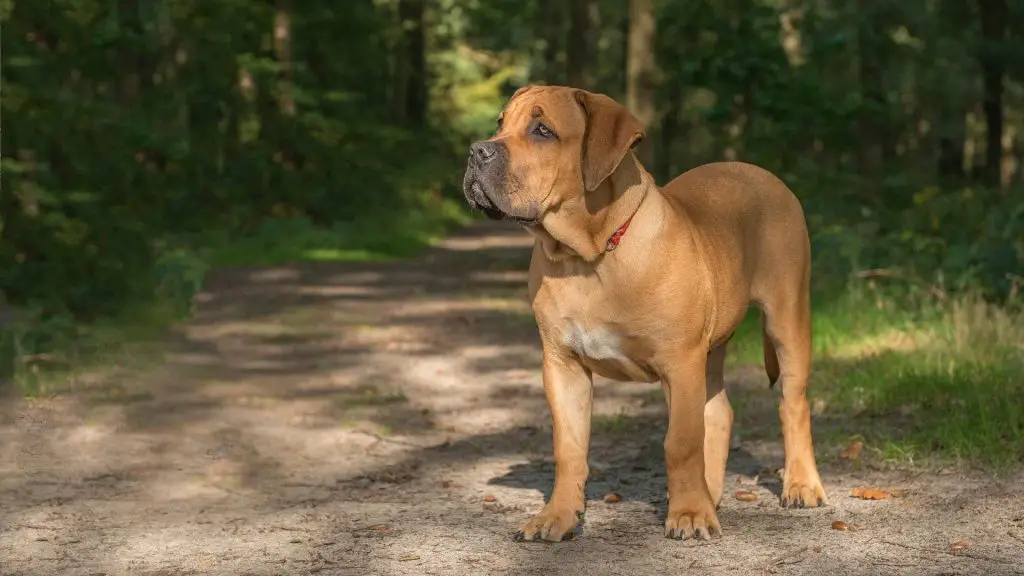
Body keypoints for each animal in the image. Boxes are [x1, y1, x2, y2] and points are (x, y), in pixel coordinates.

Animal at [460, 84, 827, 537]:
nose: (476, 150)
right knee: (719, 411)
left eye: (542, 130)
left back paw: (801, 485)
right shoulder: (562, 365)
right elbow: (569, 447)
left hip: (786, 317)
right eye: (500, 123)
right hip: (712, 349)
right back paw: (711, 494)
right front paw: (557, 516)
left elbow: (681, 443)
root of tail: (764, 174)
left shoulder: (680, 362)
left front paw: (688, 514)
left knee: (793, 404)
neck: (588, 256)